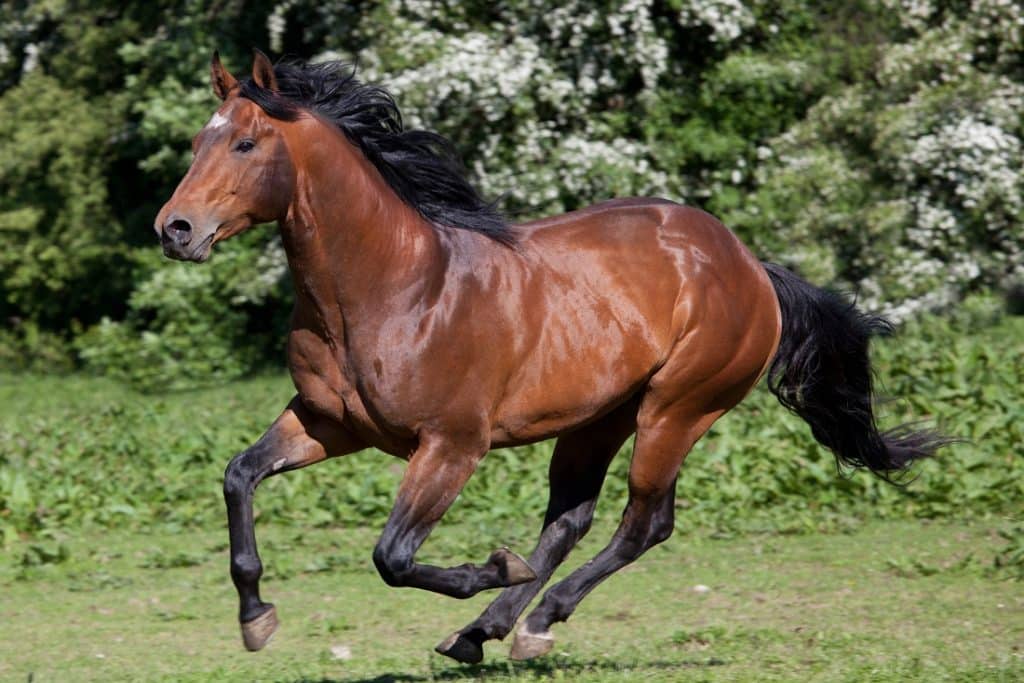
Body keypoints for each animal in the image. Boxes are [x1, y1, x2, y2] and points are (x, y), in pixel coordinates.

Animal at [155, 50, 945, 663]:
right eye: (197, 141)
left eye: (246, 144)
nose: (176, 229)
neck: (393, 287)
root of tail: (751, 266)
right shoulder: (329, 424)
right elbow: (239, 476)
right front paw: (256, 619)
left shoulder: (451, 445)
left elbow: (393, 556)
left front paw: (494, 566)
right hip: (599, 418)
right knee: (571, 521)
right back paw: (481, 632)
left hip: (676, 410)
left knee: (643, 523)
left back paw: (533, 620)